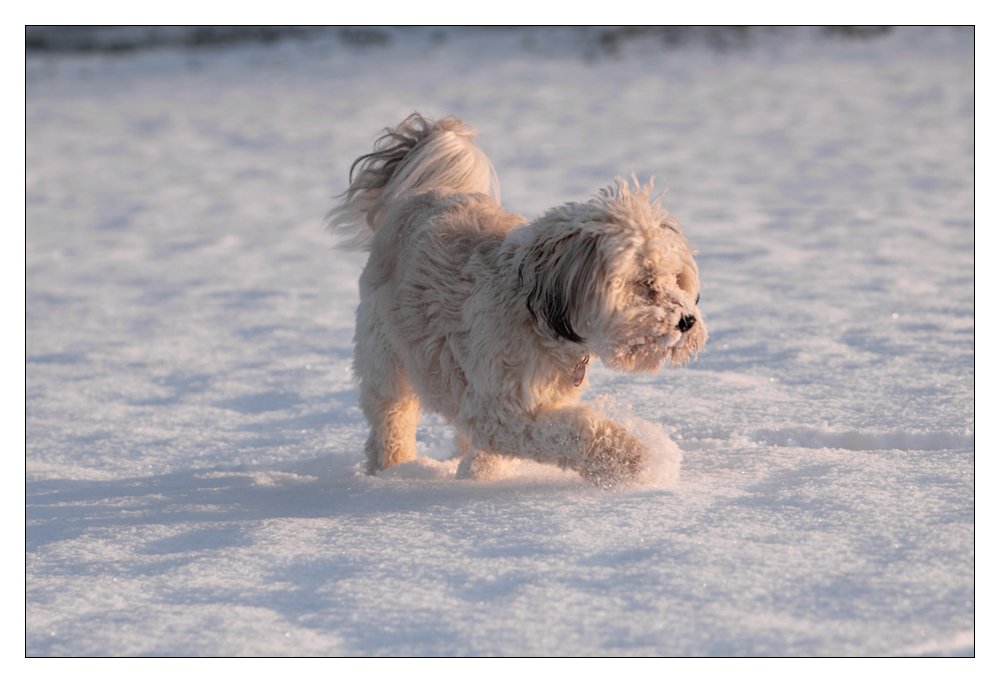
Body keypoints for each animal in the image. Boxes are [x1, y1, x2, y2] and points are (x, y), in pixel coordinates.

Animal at [328, 113, 704, 486]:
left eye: (676, 278)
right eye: (645, 281)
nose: (687, 321)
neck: (536, 311)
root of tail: (421, 194)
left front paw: (477, 477)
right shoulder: (504, 408)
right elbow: (576, 432)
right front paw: (637, 459)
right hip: (386, 352)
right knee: (391, 418)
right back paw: (392, 471)